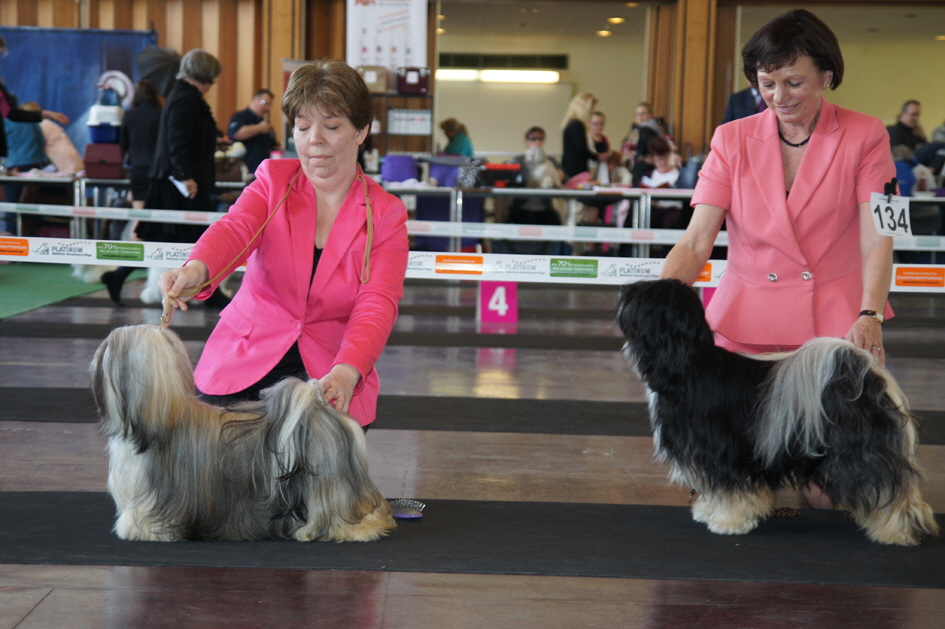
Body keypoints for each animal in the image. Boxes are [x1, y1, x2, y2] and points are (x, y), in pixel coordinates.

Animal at [90, 324, 392, 540]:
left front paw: (136, 528)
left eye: (108, 347)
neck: (160, 420)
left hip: (330, 486)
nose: (95, 356)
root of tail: (320, 409)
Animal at [612, 280, 936, 544]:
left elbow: (730, 488)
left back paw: (896, 531)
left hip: (860, 451)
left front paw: (728, 522)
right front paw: (708, 511)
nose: (623, 288)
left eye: (642, 295)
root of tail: (866, 372)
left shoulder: (724, 450)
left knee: (889, 487)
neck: (688, 364)